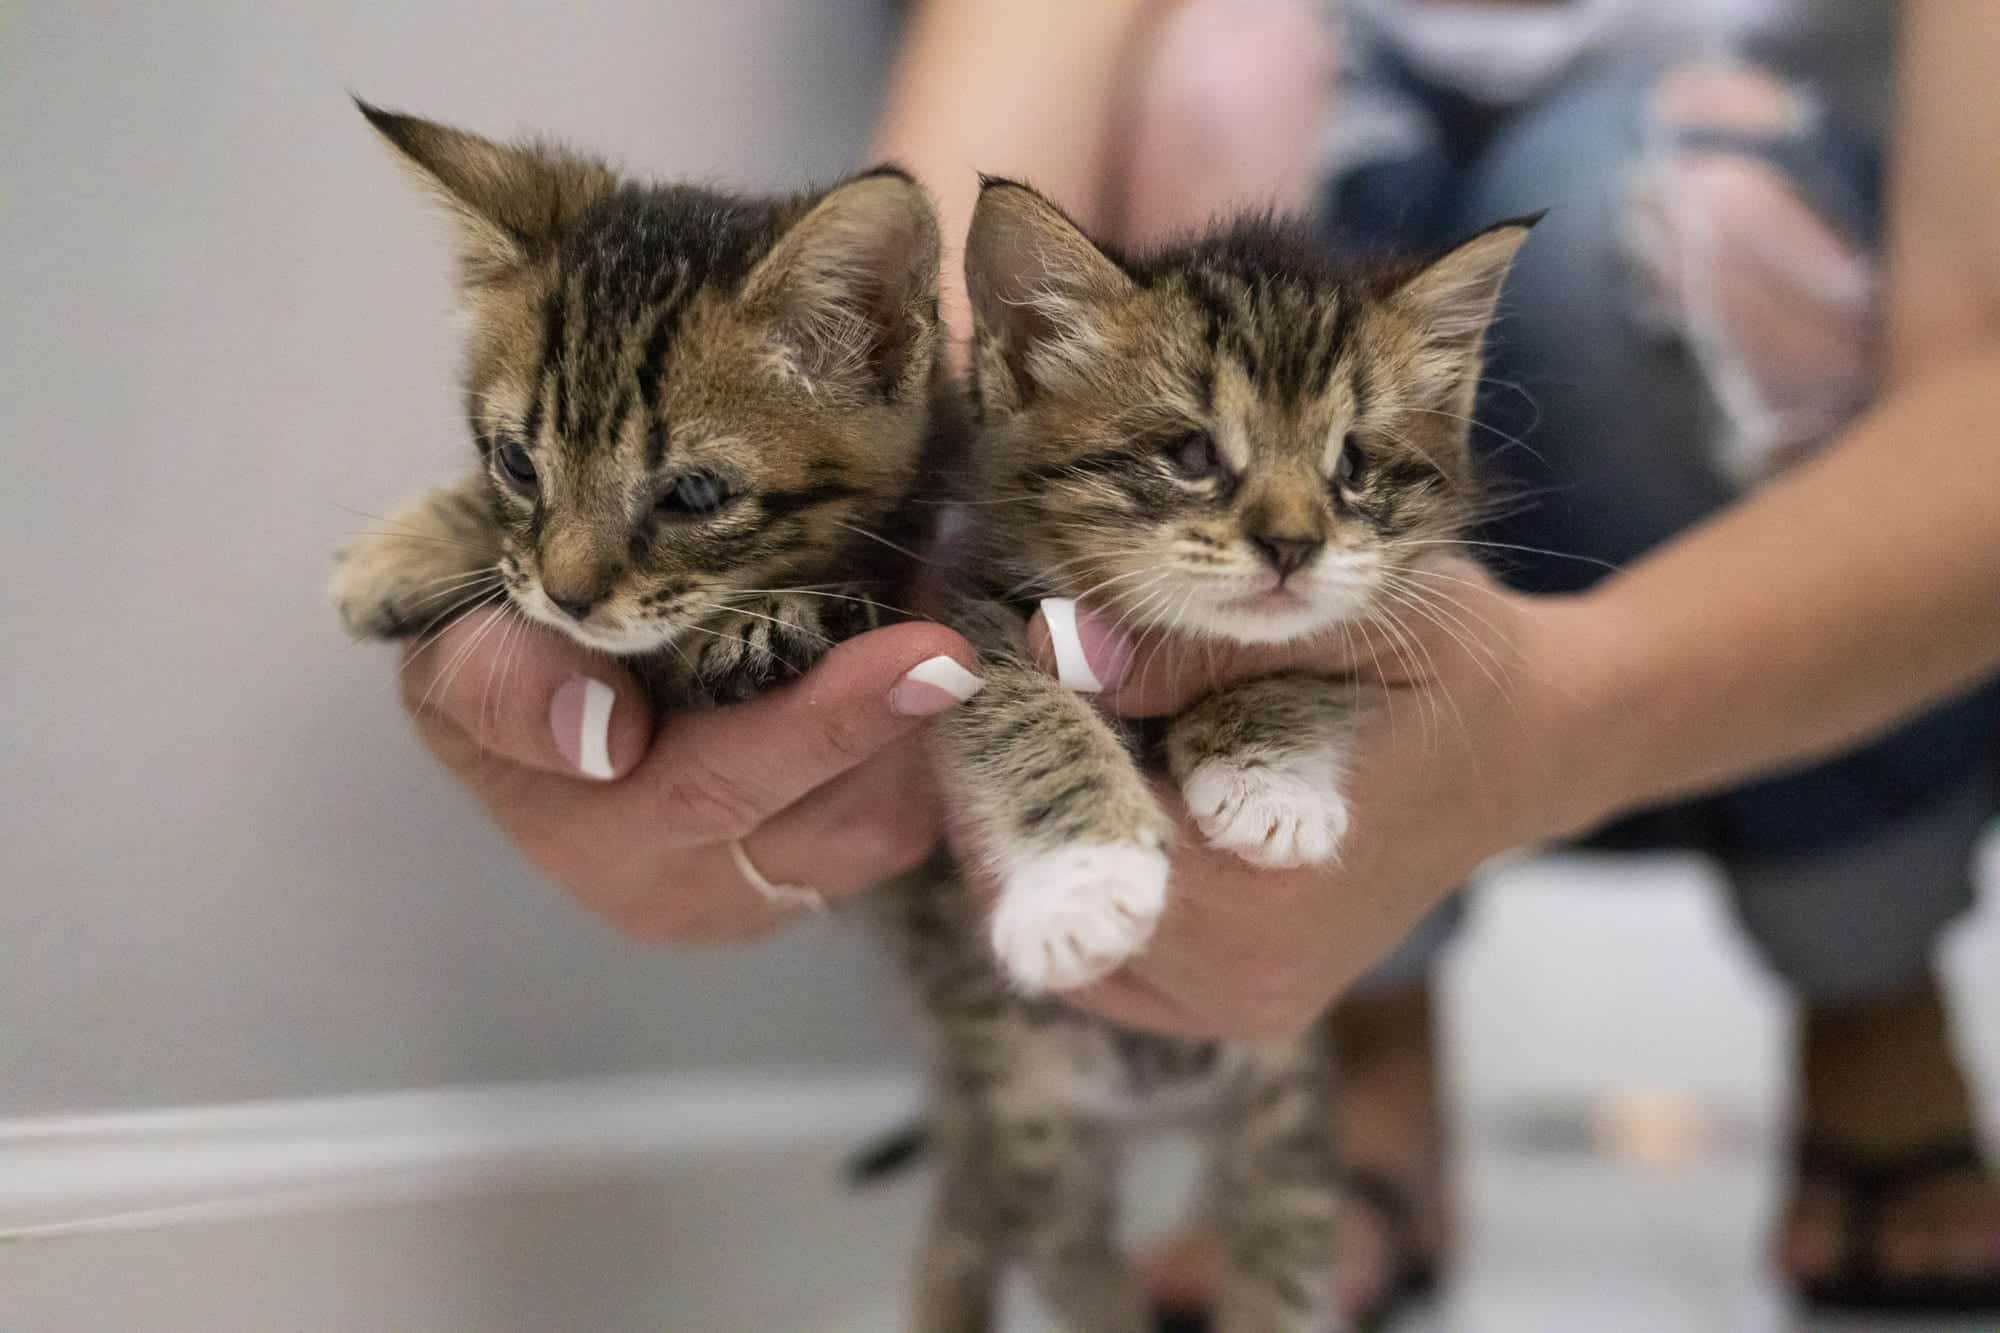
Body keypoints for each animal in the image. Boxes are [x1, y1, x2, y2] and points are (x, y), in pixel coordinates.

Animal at [892, 179, 1528, 1328]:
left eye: (1352, 464)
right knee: (1039, 1237)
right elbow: (1018, 715)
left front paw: (1268, 782)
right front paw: (1082, 881)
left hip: (1277, 1092)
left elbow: (1305, 665)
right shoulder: (965, 637)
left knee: (1286, 1236)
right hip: (1019, 1101)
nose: (1291, 544)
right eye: (1190, 454)